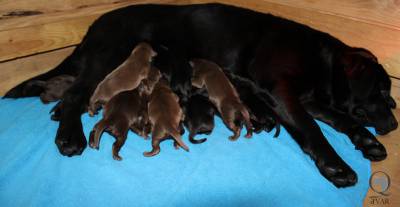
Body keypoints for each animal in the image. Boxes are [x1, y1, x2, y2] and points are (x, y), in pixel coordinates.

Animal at [5, 2, 396, 188]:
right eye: (381, 90)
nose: (393, 122)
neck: (320, 60)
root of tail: (93, 25)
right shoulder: (282, 90)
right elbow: (313, 131)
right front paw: (337, 165)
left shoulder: (312, 97)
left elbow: (341, 119)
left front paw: (367, 141)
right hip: (107, 56)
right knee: (75, 94)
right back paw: (70, 136)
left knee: (69, 89)